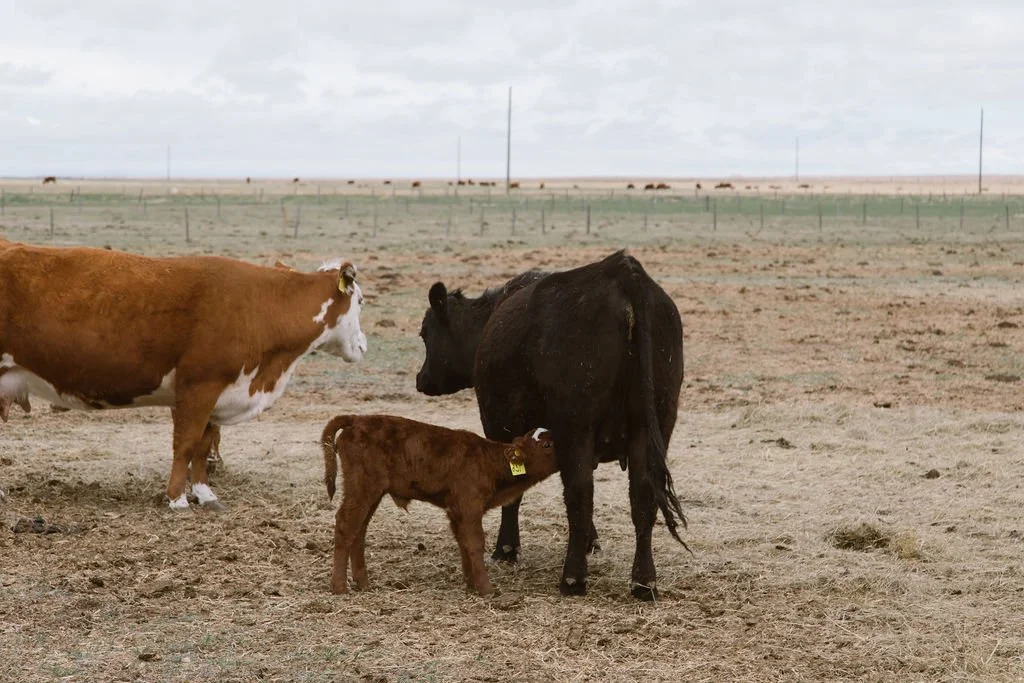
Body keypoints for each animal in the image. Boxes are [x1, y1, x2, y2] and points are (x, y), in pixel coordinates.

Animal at [0, 242, 367, 510]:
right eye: (361, 301)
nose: (363, 345)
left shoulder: (218, 393)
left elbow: (203, 446)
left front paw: (206, 495)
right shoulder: (198, 388)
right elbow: (186, 443)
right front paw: (177, 498)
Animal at [321, 415, 558, 596]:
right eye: (547, 445)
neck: (488, 460)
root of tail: (357, 419)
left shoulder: (456, 512)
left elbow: (464, 544)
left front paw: (471, 585)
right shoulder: (470, 508)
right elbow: (475, 543)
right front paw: (486, 588)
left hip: (372, 494)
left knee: (358, 530)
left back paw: (363, 583)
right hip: (362, 490)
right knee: (345, 526)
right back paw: (339, 587)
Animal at [416, 250, 686, 600]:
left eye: (425, 333)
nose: (421, 379)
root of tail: (622, 271)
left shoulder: (501, 426)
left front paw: (507, 548)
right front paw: (590, 541)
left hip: (577, 424)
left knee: (580, 492)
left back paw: (573, 578)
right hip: (654, 424)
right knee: (641, 495)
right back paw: (643, 582)